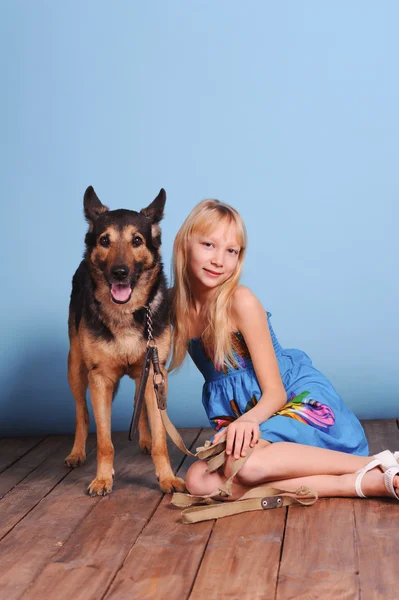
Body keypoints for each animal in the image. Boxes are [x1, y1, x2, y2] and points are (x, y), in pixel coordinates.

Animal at [65, 188, 186, 496]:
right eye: (105, 240)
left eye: (137, 241)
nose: (120, 272)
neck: (126, 313)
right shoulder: (99, 379)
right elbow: (104, 441)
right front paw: (102, 479)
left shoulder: (155, 374)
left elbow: (160, 439)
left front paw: (167, 477)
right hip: (75, 369)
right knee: (82, 414)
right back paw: (76, 452)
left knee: (138, 403)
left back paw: (143, 439)